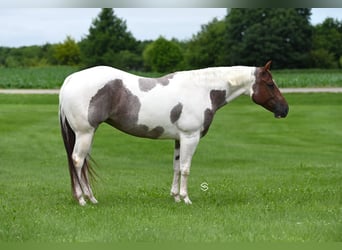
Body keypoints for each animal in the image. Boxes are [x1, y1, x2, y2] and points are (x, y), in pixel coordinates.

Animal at [59, 60, 288, 205]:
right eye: (270, 84)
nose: (285, 110)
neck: (203, 90)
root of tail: (70, 79)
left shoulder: (179, 140)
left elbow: (176, 167)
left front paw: (175, 197)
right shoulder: (190, 137)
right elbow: (186, 169)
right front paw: (186, 199)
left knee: (79, 163)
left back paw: (89, 198)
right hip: (85, 133)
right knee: (77, 161)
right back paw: (83, 200)